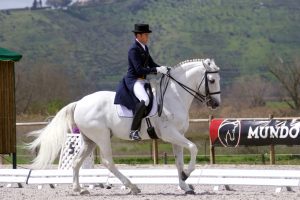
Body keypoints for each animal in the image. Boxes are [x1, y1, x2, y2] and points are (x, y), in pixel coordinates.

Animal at [28, 58, 220, 195]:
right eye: (211, 80)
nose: (216, 104)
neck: (174, 97)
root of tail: (80, 103)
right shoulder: (169, 134)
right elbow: (193, 147)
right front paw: (187, 175)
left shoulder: (177, 136)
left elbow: (179, 161)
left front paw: (185, 184)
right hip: (102, 137)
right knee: (108, 162)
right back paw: (132, 187)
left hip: (89, 139)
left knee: (76, 161)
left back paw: (79, 189)